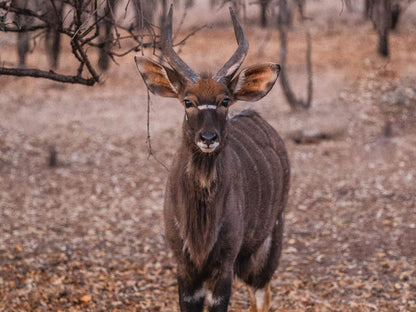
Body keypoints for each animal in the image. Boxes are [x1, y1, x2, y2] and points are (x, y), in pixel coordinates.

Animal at [135, 5, 290, 312]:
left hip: (269, 239)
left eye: (225, 100)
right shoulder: (185, 265)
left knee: (262, 292)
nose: (208, 138)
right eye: (188, 101)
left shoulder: (224, 264)